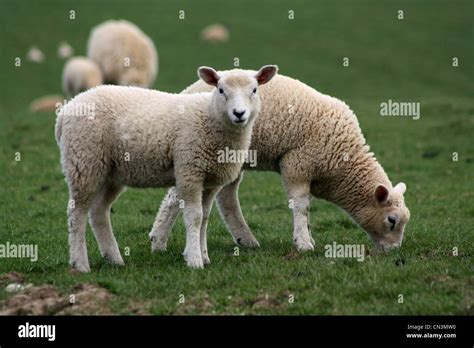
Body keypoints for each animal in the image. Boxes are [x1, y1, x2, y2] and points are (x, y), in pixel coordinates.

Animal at [55, 65, 278, 272]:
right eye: (221, 90)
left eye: (254, 90)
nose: (239, 113)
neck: (209, 116)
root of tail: (65, 112)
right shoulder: (189, 171)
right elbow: (194, 217)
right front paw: (195, 260)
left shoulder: (210, 181)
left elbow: (205, 218)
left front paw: (204, 256)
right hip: (84, 162)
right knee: (77, 214)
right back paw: (80, 264)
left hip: (110, 173)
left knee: (98, 211)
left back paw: (114, 259)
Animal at [149, 72, 412, 254]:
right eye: (391, 220)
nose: (394, 251)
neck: (342, 162)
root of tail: (184, 93)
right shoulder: (297, 164)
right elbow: (301, 206)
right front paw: (303, 243)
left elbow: (307, 208)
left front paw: (308, 236)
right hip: (200, 151)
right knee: (176, 195)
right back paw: (158, 240)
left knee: (227, 197)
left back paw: (245, 239)